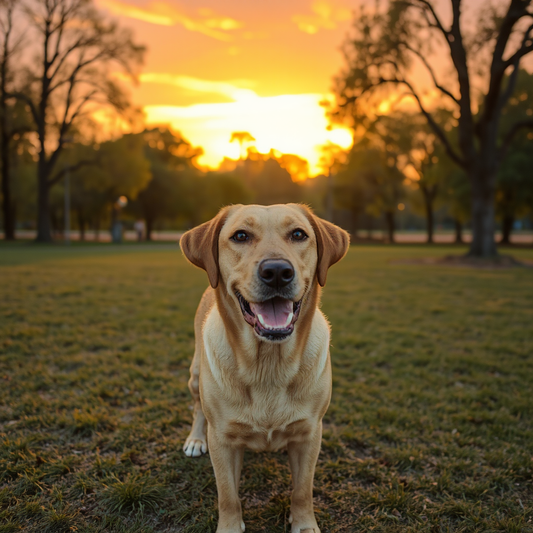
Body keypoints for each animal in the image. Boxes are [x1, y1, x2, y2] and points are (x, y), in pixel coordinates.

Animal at [179, 204, 350, 532]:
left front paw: (304, 524)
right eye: (240, 236)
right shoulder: (222, 439)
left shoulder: (310, 434)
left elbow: (302, 490)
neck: (268, 365)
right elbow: (227, 495)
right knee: (197, 408)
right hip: (195, 375)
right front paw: (230, 527)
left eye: (298, 234)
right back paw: (195, 439)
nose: (277, 272)